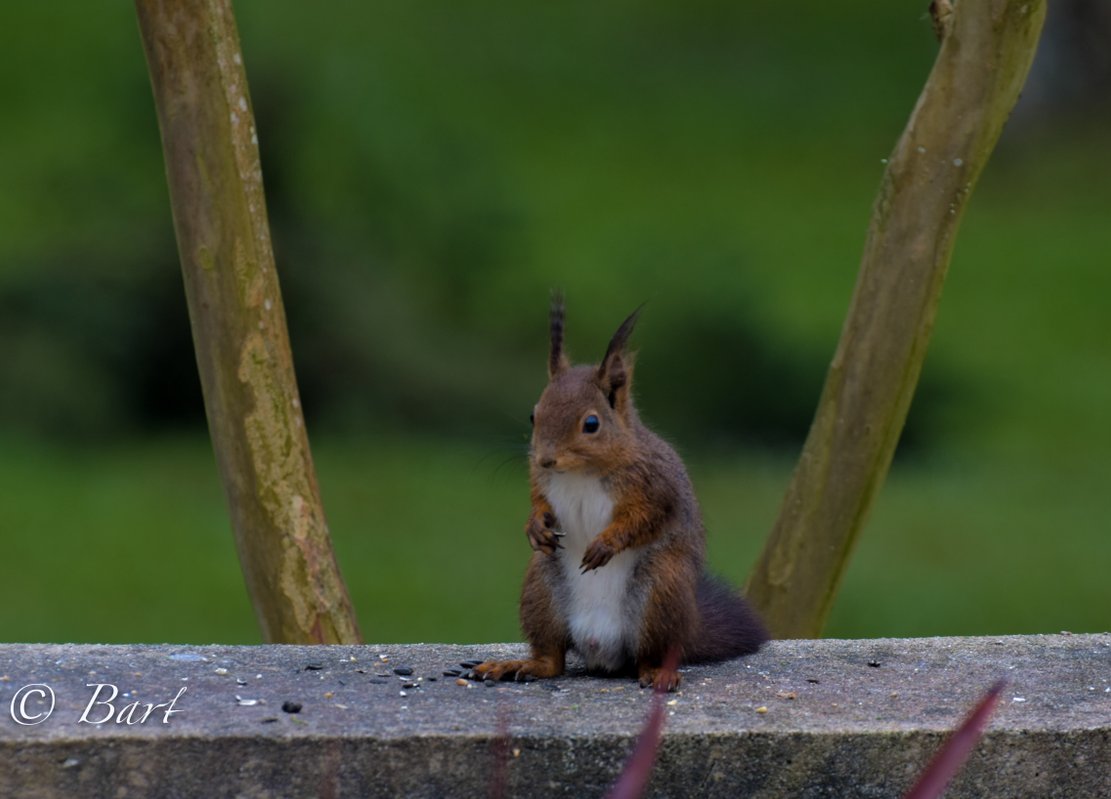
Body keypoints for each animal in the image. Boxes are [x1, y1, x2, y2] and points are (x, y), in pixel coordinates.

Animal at [473, 300, 768, 693]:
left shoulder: (656, 487)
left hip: (661, 591)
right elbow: (539, 503)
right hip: (541, 589)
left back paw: (658, 672)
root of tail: (601, 647)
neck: (580, 472)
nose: (545, 459)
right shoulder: (542, 482)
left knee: (649, 654)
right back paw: (521, 665)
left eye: (592, 424)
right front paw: (534, 526)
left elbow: (645, 518)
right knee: (553, 659)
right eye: (533, 415)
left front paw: (606, 545)